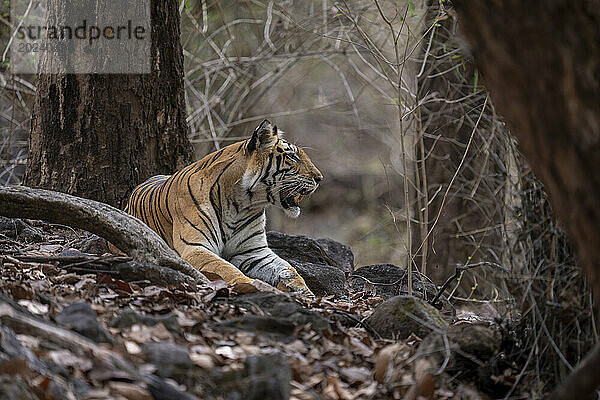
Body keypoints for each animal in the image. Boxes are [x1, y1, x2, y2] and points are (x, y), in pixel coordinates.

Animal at [125, 119, 324, 294]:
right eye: (292, 156)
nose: (320, 178)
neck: (242, 204)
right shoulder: (195, 247)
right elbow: (225, 268)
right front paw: (253, 285)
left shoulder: (254, 251)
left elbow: (289, 269)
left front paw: (306, 292)